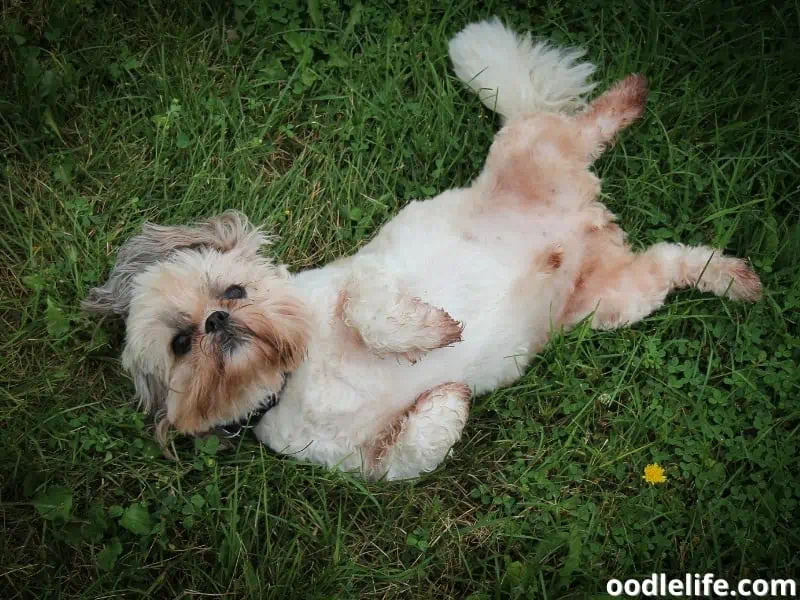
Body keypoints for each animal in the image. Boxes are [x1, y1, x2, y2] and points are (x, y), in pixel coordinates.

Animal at [84, 16, 764, 480]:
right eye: (181, 343)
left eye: (234, 289)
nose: (218, 321)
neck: (295, 373)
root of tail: (590, 219)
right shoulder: (365, 460)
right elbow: (416, 449)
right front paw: (451, 399)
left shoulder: (362, 279)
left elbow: (373, 311)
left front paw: (433, 334)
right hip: (614, 300)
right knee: (674, 259)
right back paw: (734, 277)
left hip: (539, 149)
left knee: (587, 123)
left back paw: (631, 92)